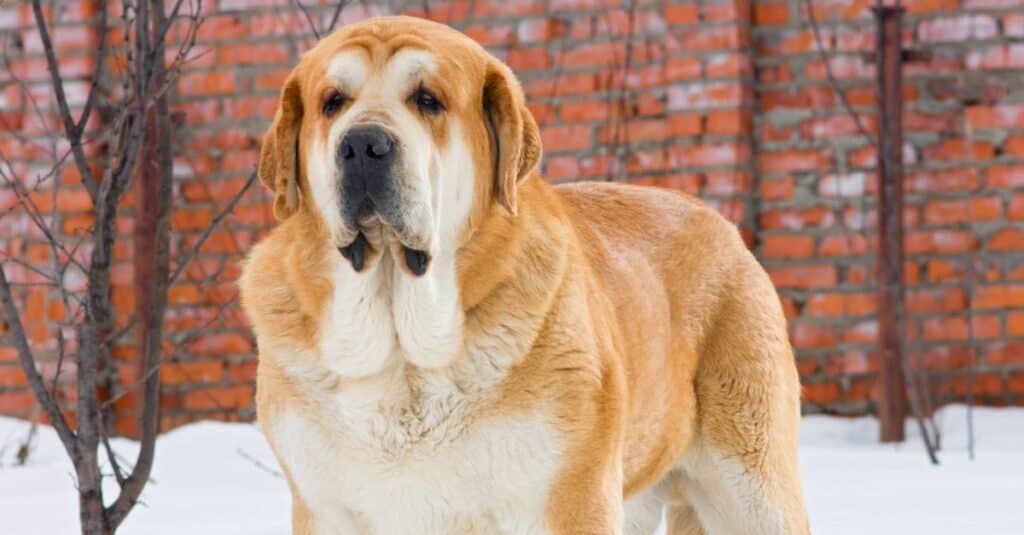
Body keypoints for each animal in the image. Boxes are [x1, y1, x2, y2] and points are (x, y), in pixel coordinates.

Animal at [237, 14, 806, 528]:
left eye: (428, 100)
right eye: (333, 103)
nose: (362, 145)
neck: (405, 358)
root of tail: (721, 223)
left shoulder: (570, 499)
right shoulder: (324, 507)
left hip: (753, 488)